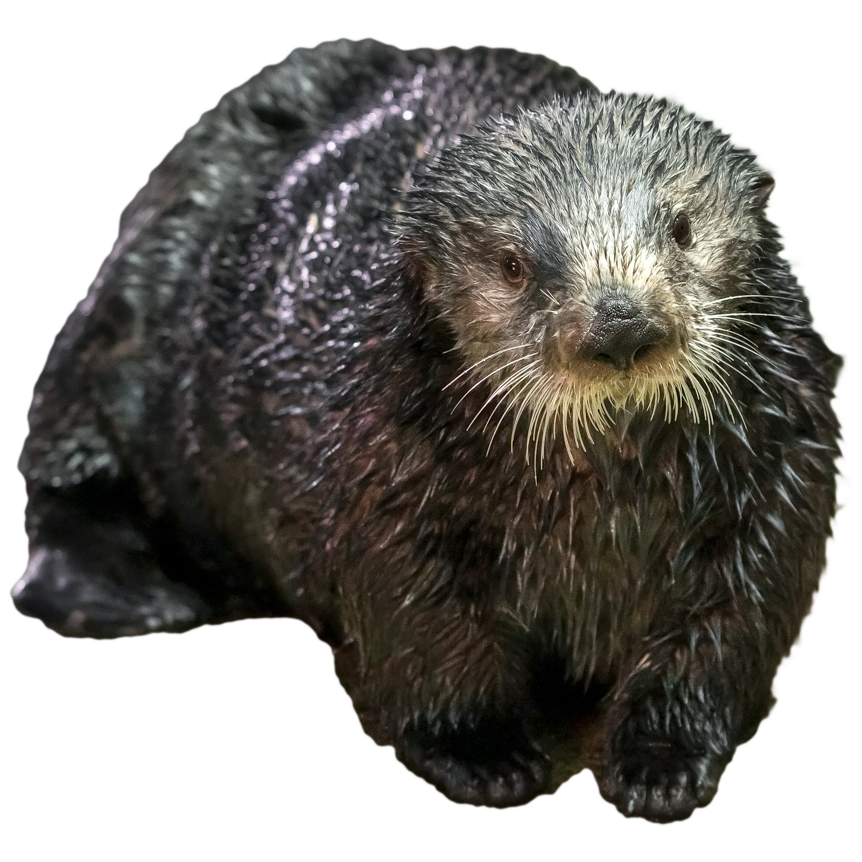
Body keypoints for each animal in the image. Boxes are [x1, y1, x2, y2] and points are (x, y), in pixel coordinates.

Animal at [11, 40, 840, 823]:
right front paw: (484, 755)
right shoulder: (380, 481)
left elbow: (727, 626)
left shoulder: (773, 485)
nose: (620, 323)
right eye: (512, 263)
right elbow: (421, 628)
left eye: (681, 227)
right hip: (116, 332)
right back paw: (135, 595)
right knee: (62, 492)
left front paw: (663, 765)